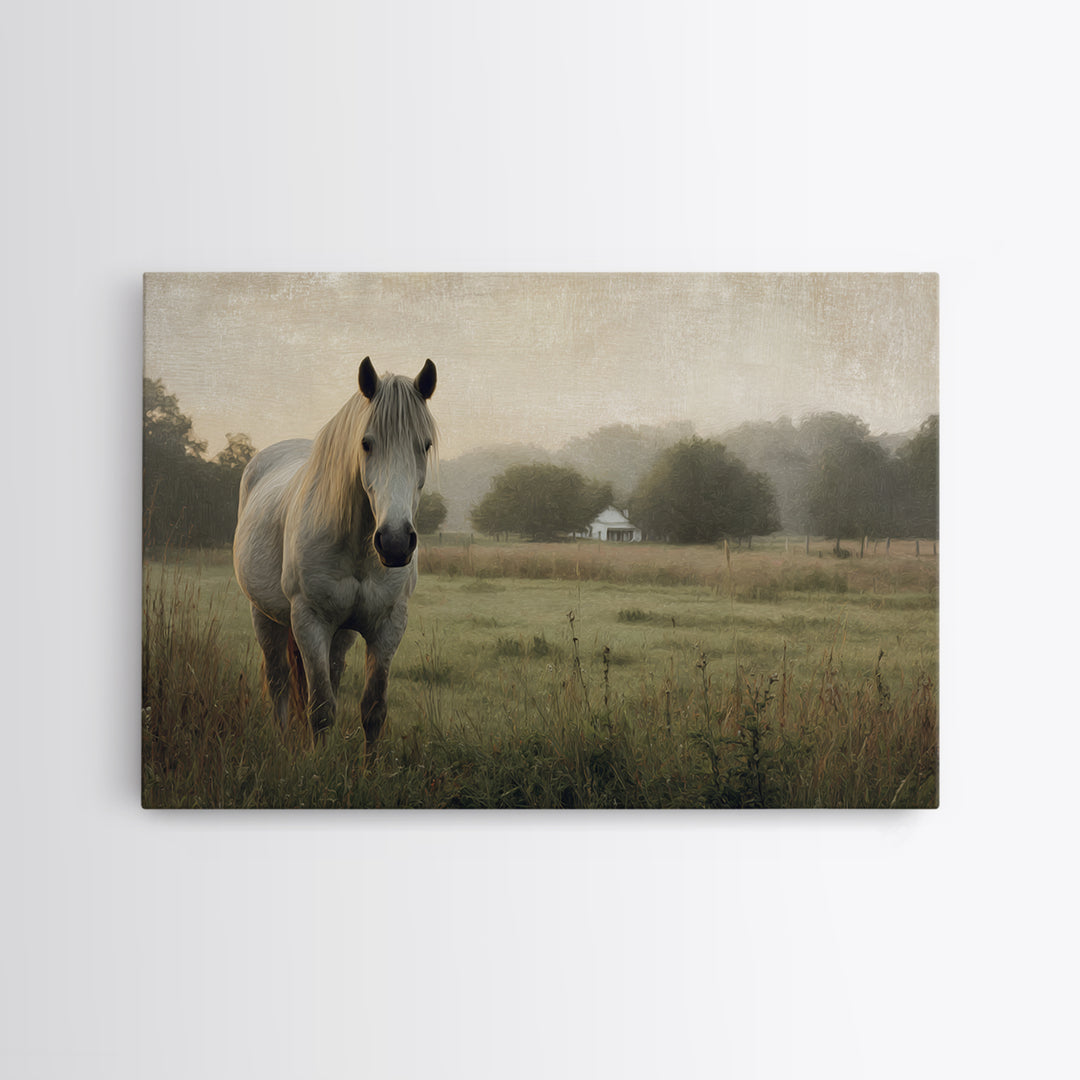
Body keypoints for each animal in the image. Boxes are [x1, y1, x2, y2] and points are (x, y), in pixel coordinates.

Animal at [232, 356, 438, 756]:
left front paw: (369, 768)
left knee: (331, 673)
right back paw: (284, 745)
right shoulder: (310, 621)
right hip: (265, 617)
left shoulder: (388, 626)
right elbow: (321, 709)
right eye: (366, 443)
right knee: (279, 683)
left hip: (340, 634)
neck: (358, 550)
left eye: (425, 444)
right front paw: (319, 765)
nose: (394, 542)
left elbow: (373, 708)